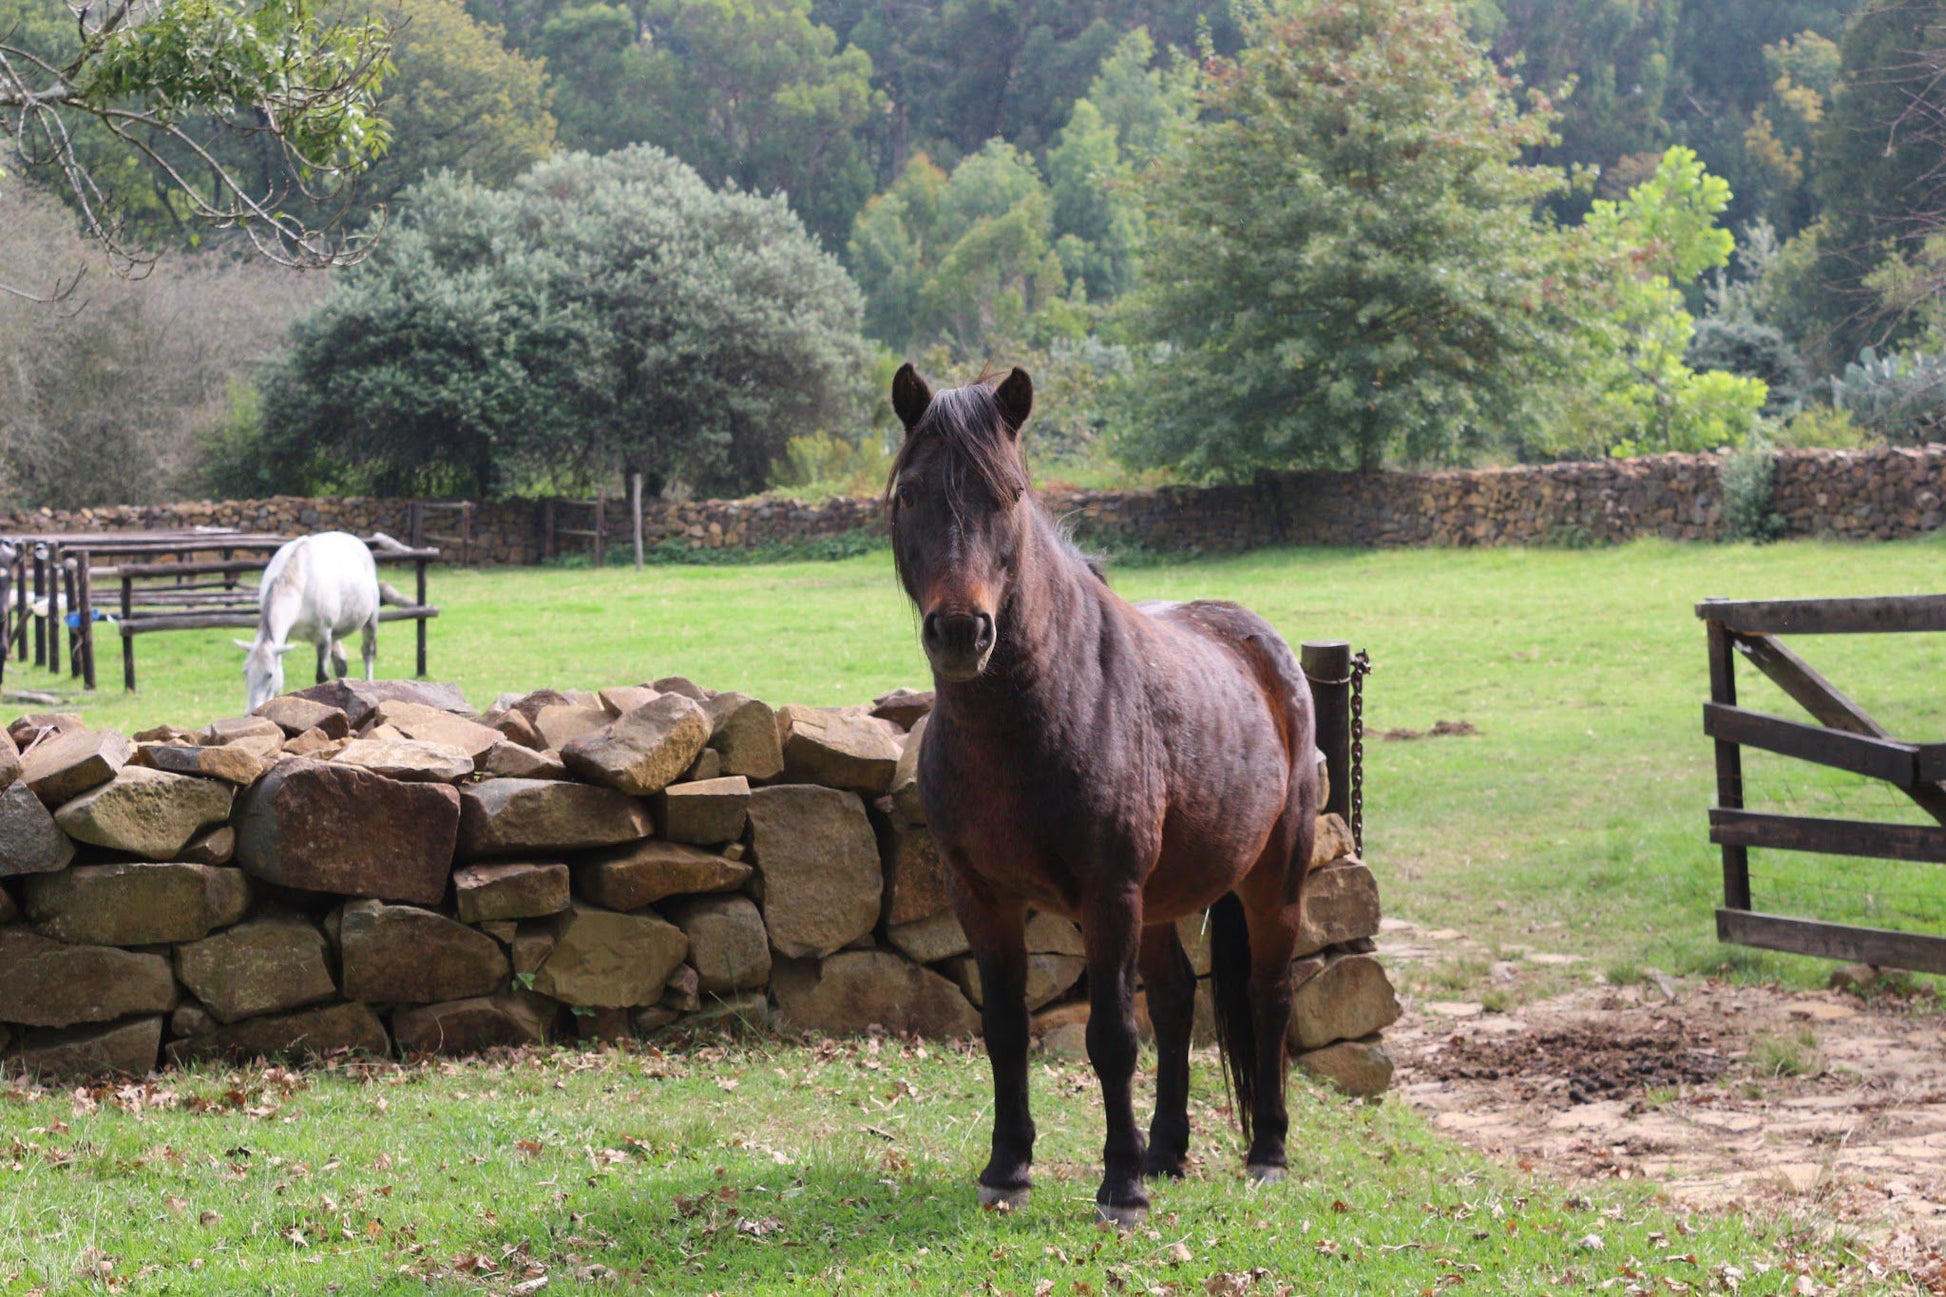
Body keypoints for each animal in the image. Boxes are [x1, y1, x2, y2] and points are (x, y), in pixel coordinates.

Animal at [237, 529, 381, 708]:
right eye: (245, 672)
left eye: (269, 674)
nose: (251, 710)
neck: (301, 580)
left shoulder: (323, 636)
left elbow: (322, 677)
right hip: (335, 634)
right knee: (341, 664)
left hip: (370, 622)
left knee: (368, 653)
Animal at [887, 360, 1323, 1222]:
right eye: (911, 492)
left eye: (1009, 494)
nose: (961, 632)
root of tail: (1269, 650)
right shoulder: (979, 895)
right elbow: (1007, 1028)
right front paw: (1008, 1166)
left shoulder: (1108, 892)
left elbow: (1113, 1037)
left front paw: (1119, 1183)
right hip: (1160, 901)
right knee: (1178, 1000)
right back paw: (1168, 1151)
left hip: (1270, 882)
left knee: (1267, 996)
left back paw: (1266, 1150)